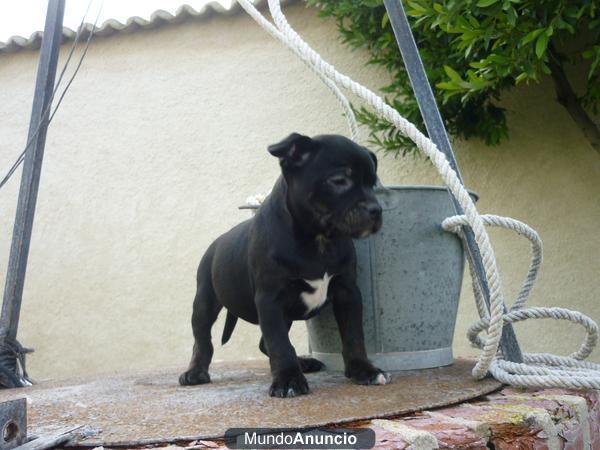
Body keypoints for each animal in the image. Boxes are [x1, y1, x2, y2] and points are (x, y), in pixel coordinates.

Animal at [178, 133, 390, 398]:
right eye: (339, 181)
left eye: (373, 184)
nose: (376, 210)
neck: (318, 240)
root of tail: (217, 242)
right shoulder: (270, 299)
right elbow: (279, 343)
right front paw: (288, 380)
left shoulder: (347, 292)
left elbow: (353, 335)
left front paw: (364, 370)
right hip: (204, 300)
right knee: (202, 340)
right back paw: (195, 372)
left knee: (262, 343)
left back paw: (304, 363)